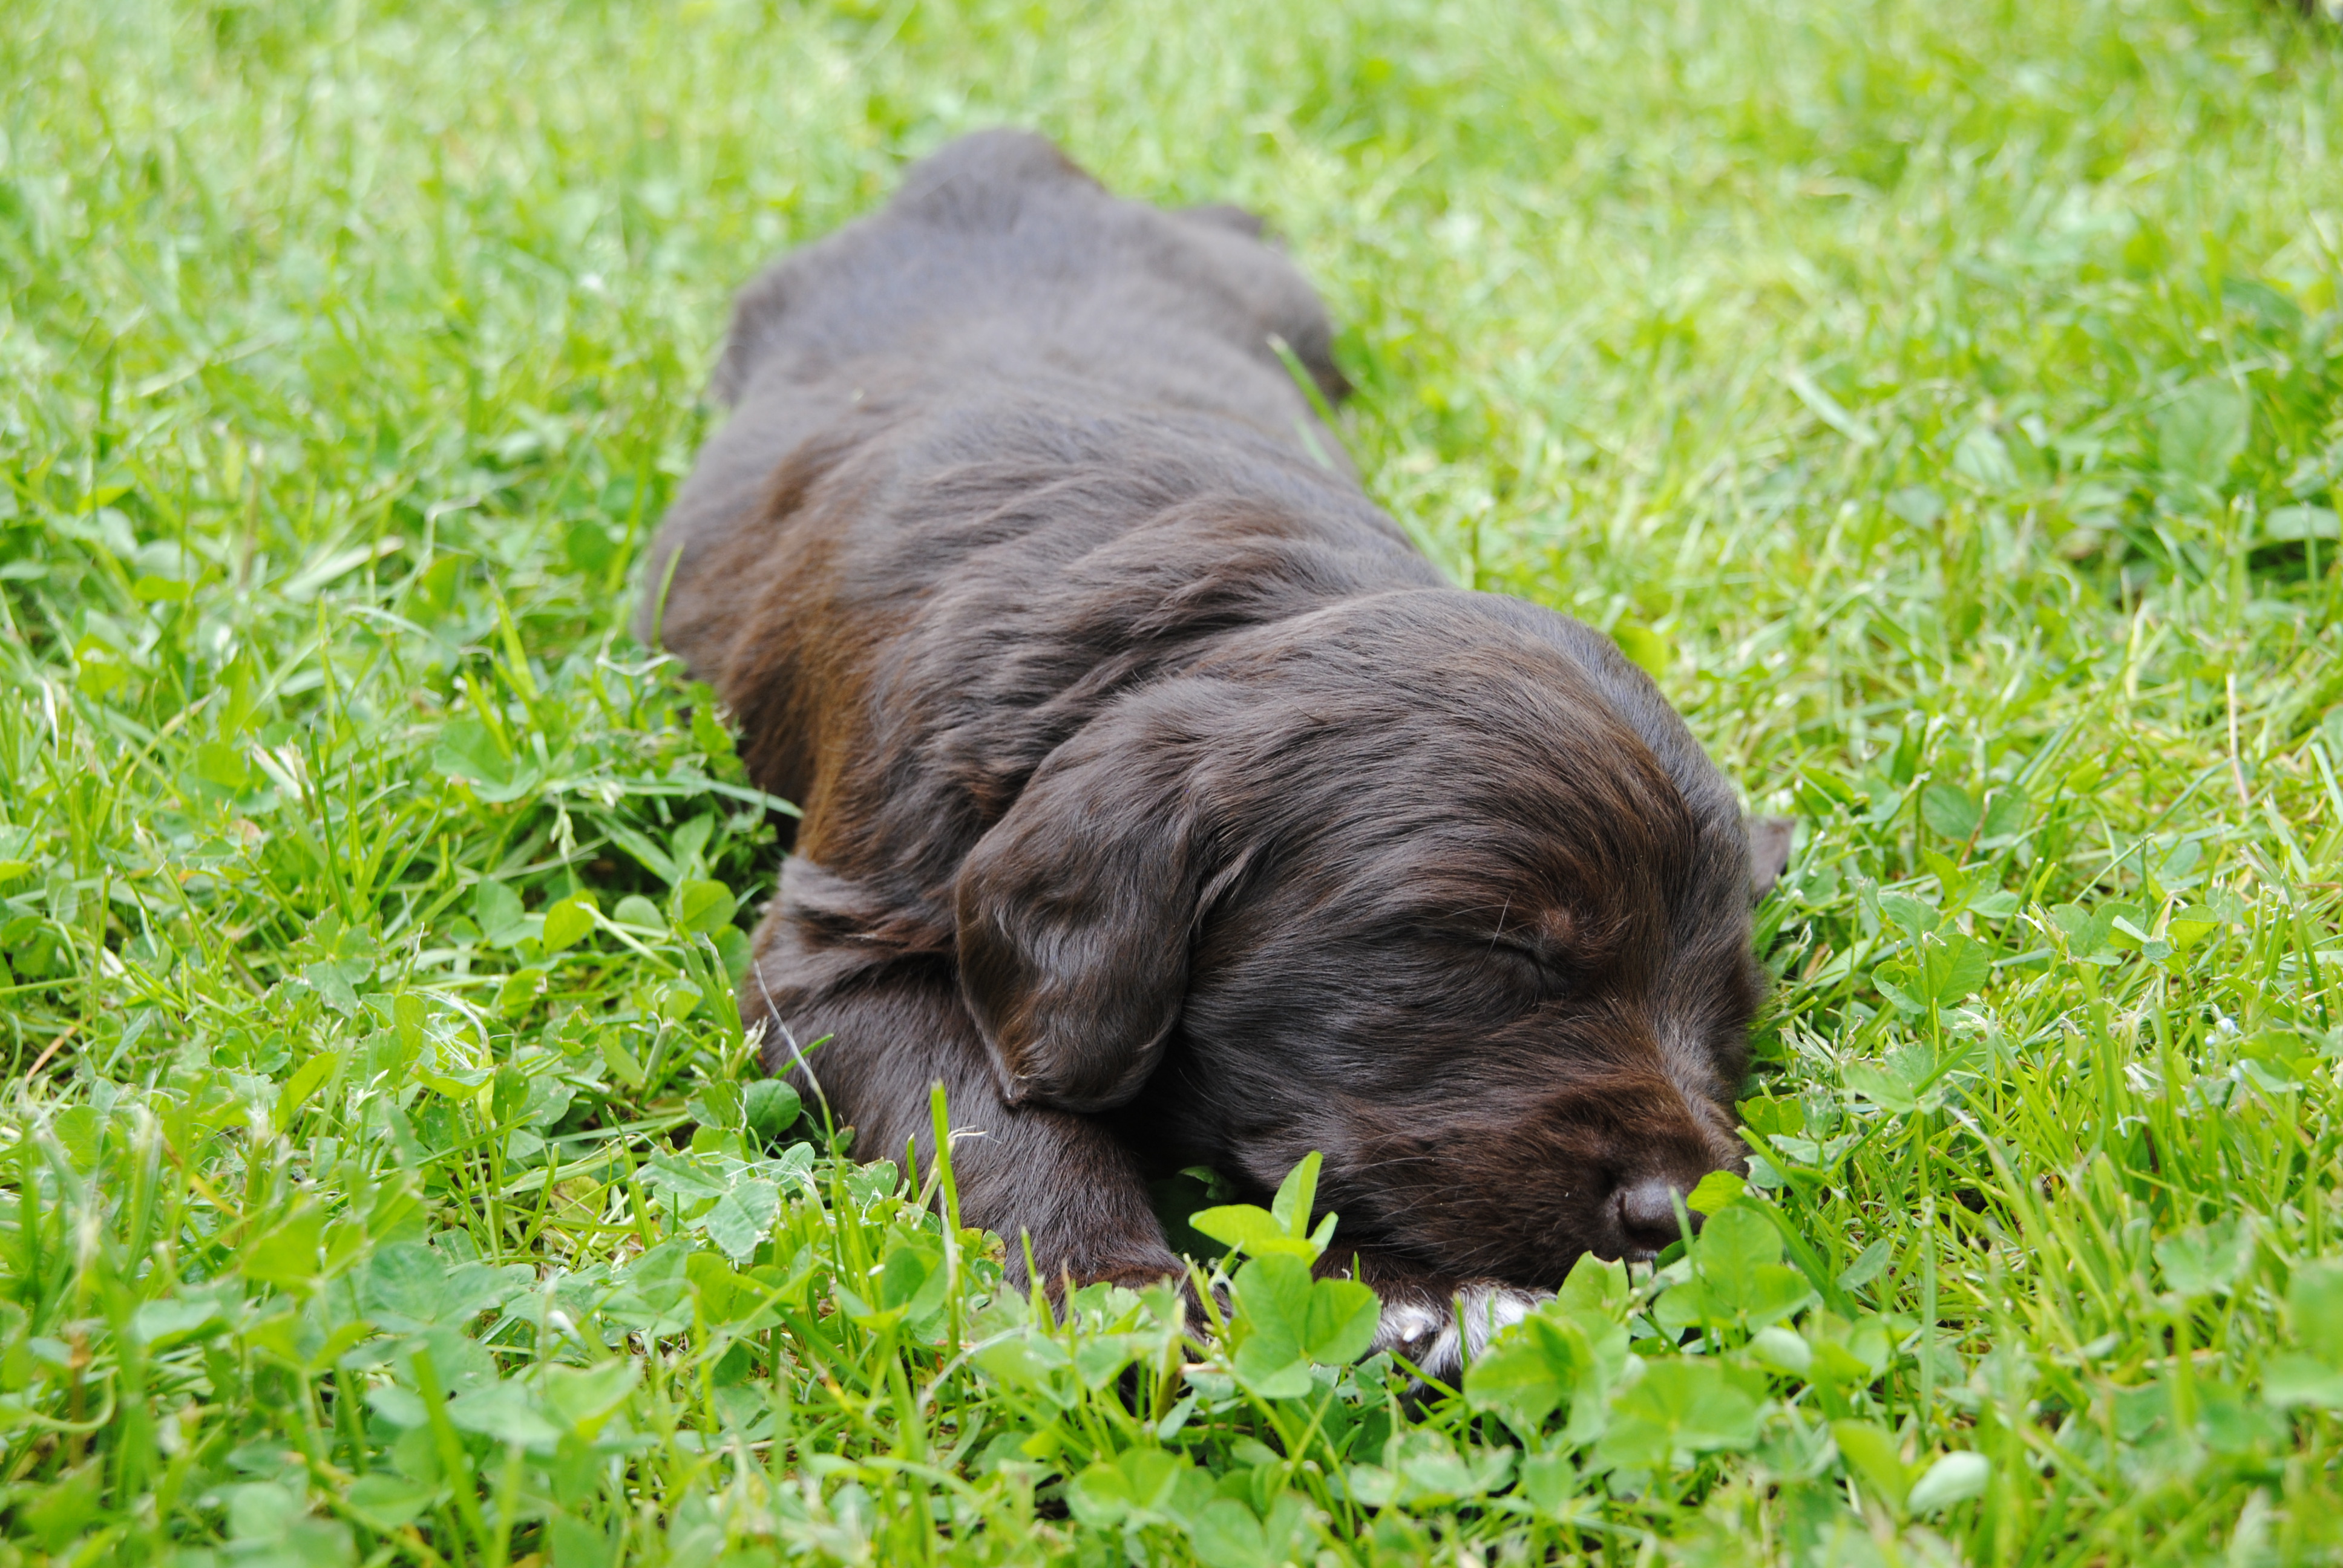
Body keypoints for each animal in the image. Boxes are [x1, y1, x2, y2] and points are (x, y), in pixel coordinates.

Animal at [638, 130, 1790, 1374]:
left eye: (1728, 1013)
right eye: (1501, 954)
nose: (1681, 1215)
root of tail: (999, 158)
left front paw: (1426, 1292)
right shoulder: (841, 946)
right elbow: (992, 1113)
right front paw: (1111, 1286)